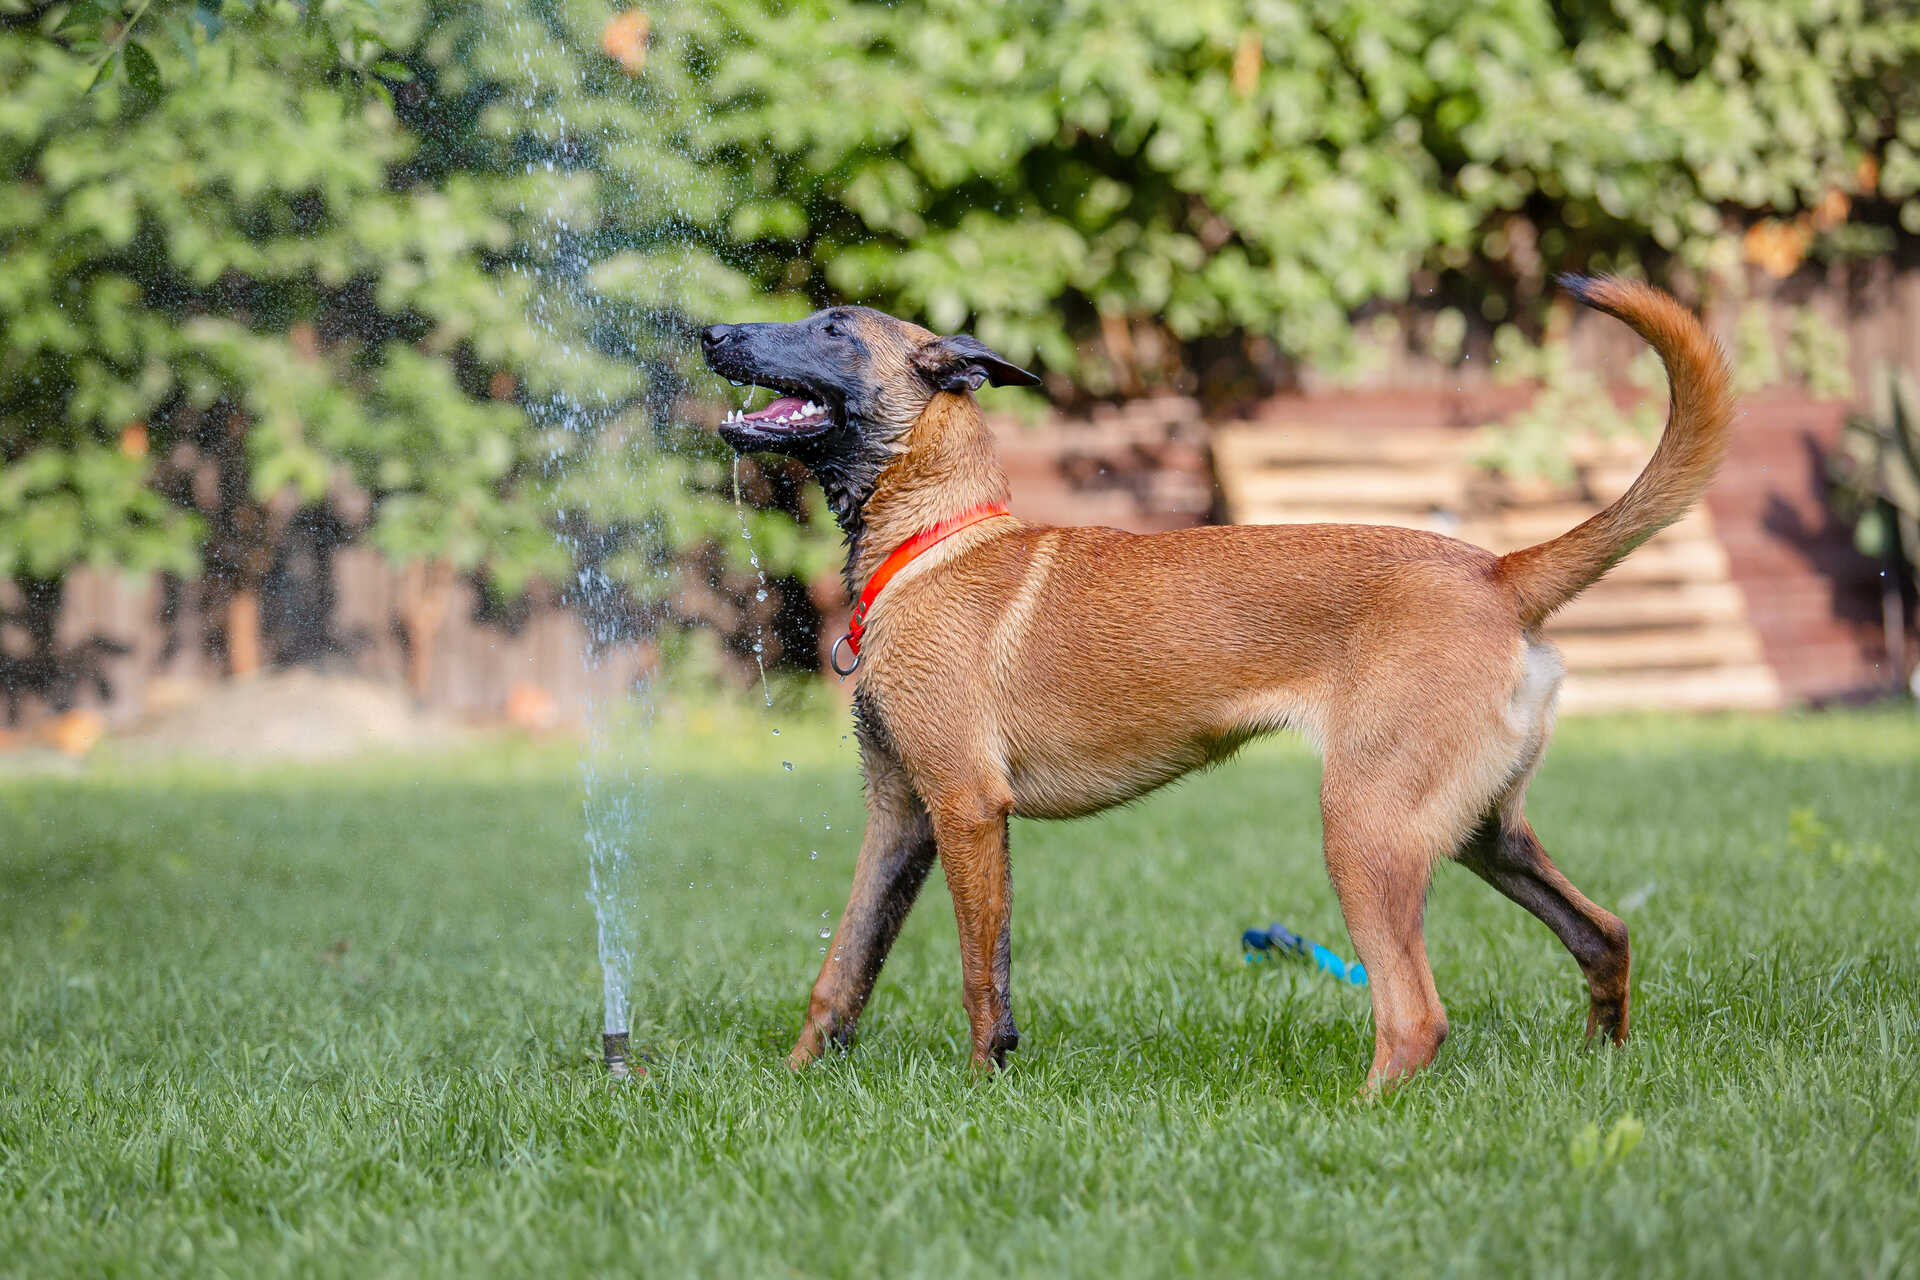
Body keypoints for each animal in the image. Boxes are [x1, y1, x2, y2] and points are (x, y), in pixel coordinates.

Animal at [706, 278, 1743, 1090]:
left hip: (1365, 829)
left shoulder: (963, 808)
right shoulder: (900, 813)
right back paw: (1601, 1066)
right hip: (1481, 831)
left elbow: (979, 977)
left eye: (834, 327)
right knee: (1604, 933)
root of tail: (1498, 572)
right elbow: (843, 970)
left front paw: (980, 1090)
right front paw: (794, 1084)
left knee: (1415, 1017)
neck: (932, 540)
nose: (712, 333)